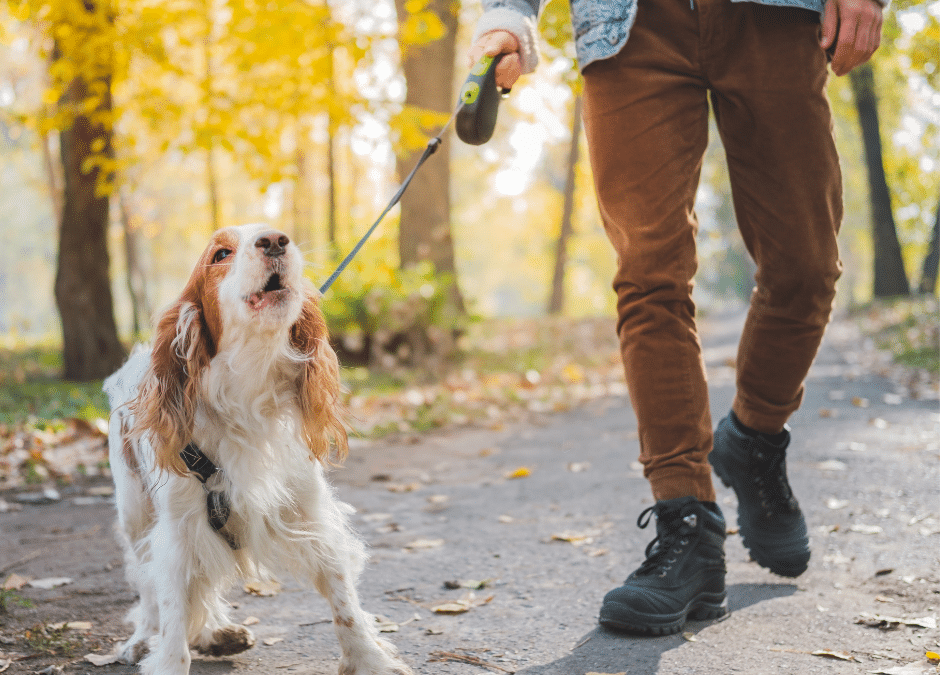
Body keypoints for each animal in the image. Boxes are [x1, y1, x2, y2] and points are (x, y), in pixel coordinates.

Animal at [103, 224, 412, 672]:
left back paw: (217, 632)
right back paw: (144, 638)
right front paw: (167, 655)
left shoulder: (310, 512)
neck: (247, 390)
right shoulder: (177, 532)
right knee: (146, 587)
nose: (275, 241)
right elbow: (173, 618)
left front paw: (369, 660)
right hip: (135, 514)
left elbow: (344, 603)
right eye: (221, 254)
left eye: (283, 235)